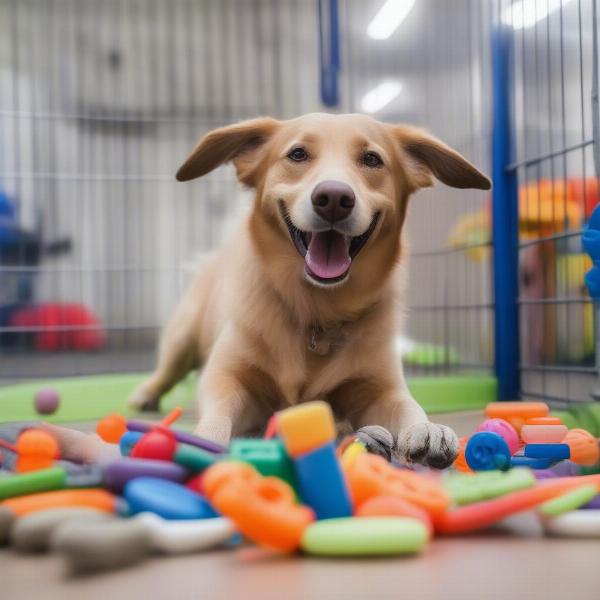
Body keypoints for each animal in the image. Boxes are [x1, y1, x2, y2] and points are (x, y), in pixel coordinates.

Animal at [129, 113, 490, 468]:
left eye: (372, 159)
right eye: (298, 154)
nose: (334, 199)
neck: (318, 310)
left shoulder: (381, 388)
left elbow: (406, 405)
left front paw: (425, 428)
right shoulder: (225, 377)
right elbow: (217, 414)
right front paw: (203, 441)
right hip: (182, 336)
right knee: (166, 371)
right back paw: (145, 395)